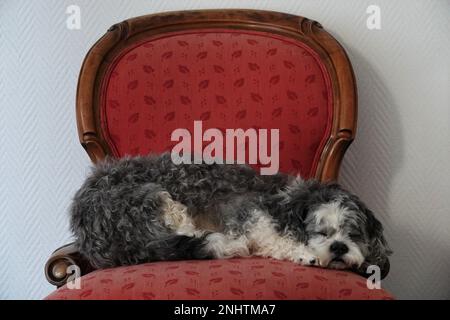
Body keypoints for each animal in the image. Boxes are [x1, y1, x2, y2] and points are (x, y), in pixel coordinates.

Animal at [69, 152, 390, 278]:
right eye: (320, 231)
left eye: (354, 234)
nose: (339, 247)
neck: (287, 199)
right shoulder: (248, 213)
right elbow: (273, 238)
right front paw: (303, 253)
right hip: (156, 199)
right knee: (197, 243)